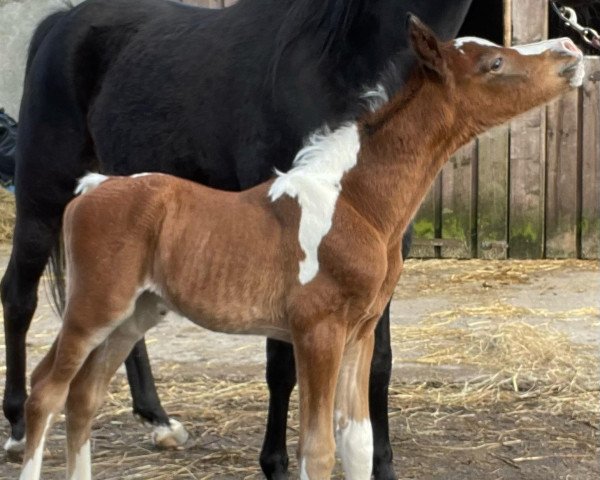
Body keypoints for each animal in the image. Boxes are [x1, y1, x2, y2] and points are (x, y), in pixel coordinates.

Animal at [0, 0, 596, 478]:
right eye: (495, 63)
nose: (570, 48)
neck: (352, 201)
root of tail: (94, 189)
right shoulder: (318, 333)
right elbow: (318, 449)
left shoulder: (359, 332)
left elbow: (357, 443)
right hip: (86, 294)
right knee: (46, 383)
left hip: (135, 312)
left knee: (85, 396)